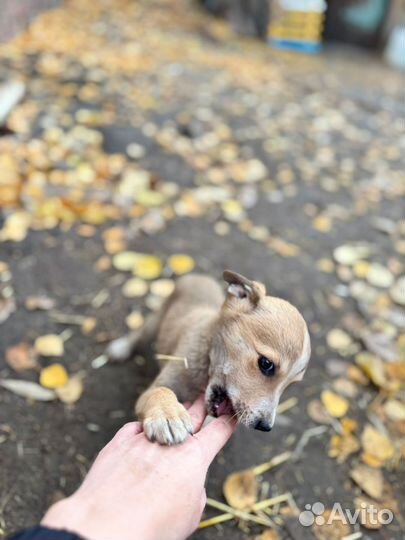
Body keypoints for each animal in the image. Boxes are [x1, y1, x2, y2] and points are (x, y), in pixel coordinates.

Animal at [106, 272, 310, 446]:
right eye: (266, 364)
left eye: (292, 384)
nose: (264, 427)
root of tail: (199, 276)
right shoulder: (151, 391)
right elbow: (161, 391)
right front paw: (168, 416)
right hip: (157, 318)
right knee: (139, 334)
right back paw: (121, 348)